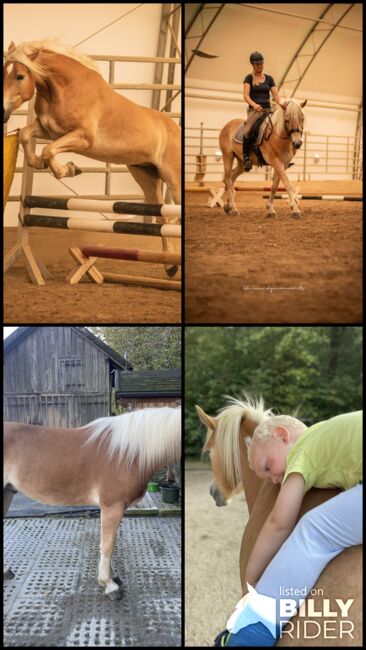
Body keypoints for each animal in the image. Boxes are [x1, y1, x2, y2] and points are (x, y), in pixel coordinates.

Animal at [2, 38, 180, 270]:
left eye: (20, 76)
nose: (2, 112)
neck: (63, 88)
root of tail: (175, 128)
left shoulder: (82, 137)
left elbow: (49, 150)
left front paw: (68, 169)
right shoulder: (48, 130)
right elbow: (25, 134)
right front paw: (41, 164)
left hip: (173, 179)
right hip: (146, 177)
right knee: (162, 219)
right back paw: (170, 267)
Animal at [2, 408, 180, 600]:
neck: (128, 454)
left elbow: (109, 543)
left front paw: (113, 577)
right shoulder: (112, 507)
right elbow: (108, 545)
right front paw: (109, 585)